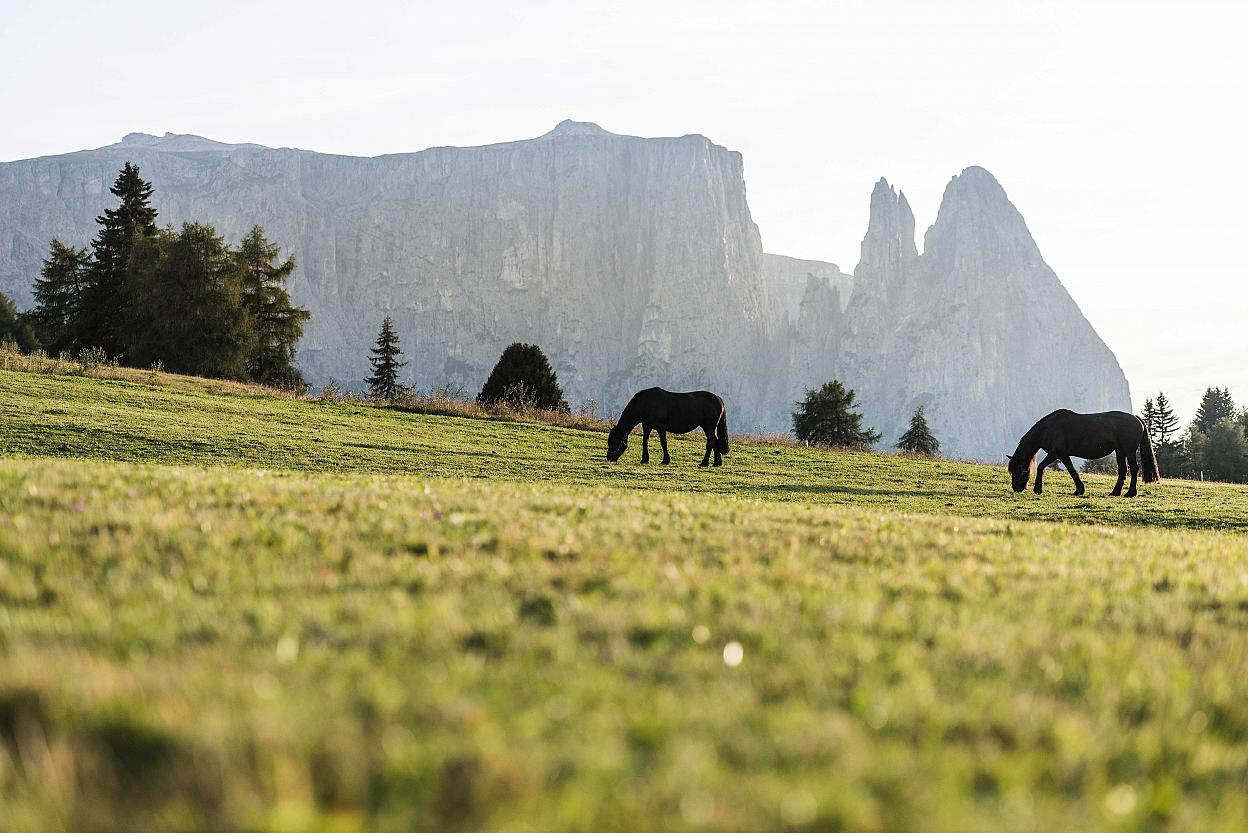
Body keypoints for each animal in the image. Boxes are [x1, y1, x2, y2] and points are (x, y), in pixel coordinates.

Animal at [1003, 409, 1158, 494]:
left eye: (1018, 469)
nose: (1016, 488)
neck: (1049, 428)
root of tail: (1137, 418)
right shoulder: (1063, 455)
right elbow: (1072, 470)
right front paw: (1079, 490)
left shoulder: (1055, 453)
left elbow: (1041, 467)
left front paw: (1038, 489)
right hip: (1120, 451)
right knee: (1122, 470)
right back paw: (1115, 492)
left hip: (1129, 451)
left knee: (1134, 469)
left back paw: (1130, 493)